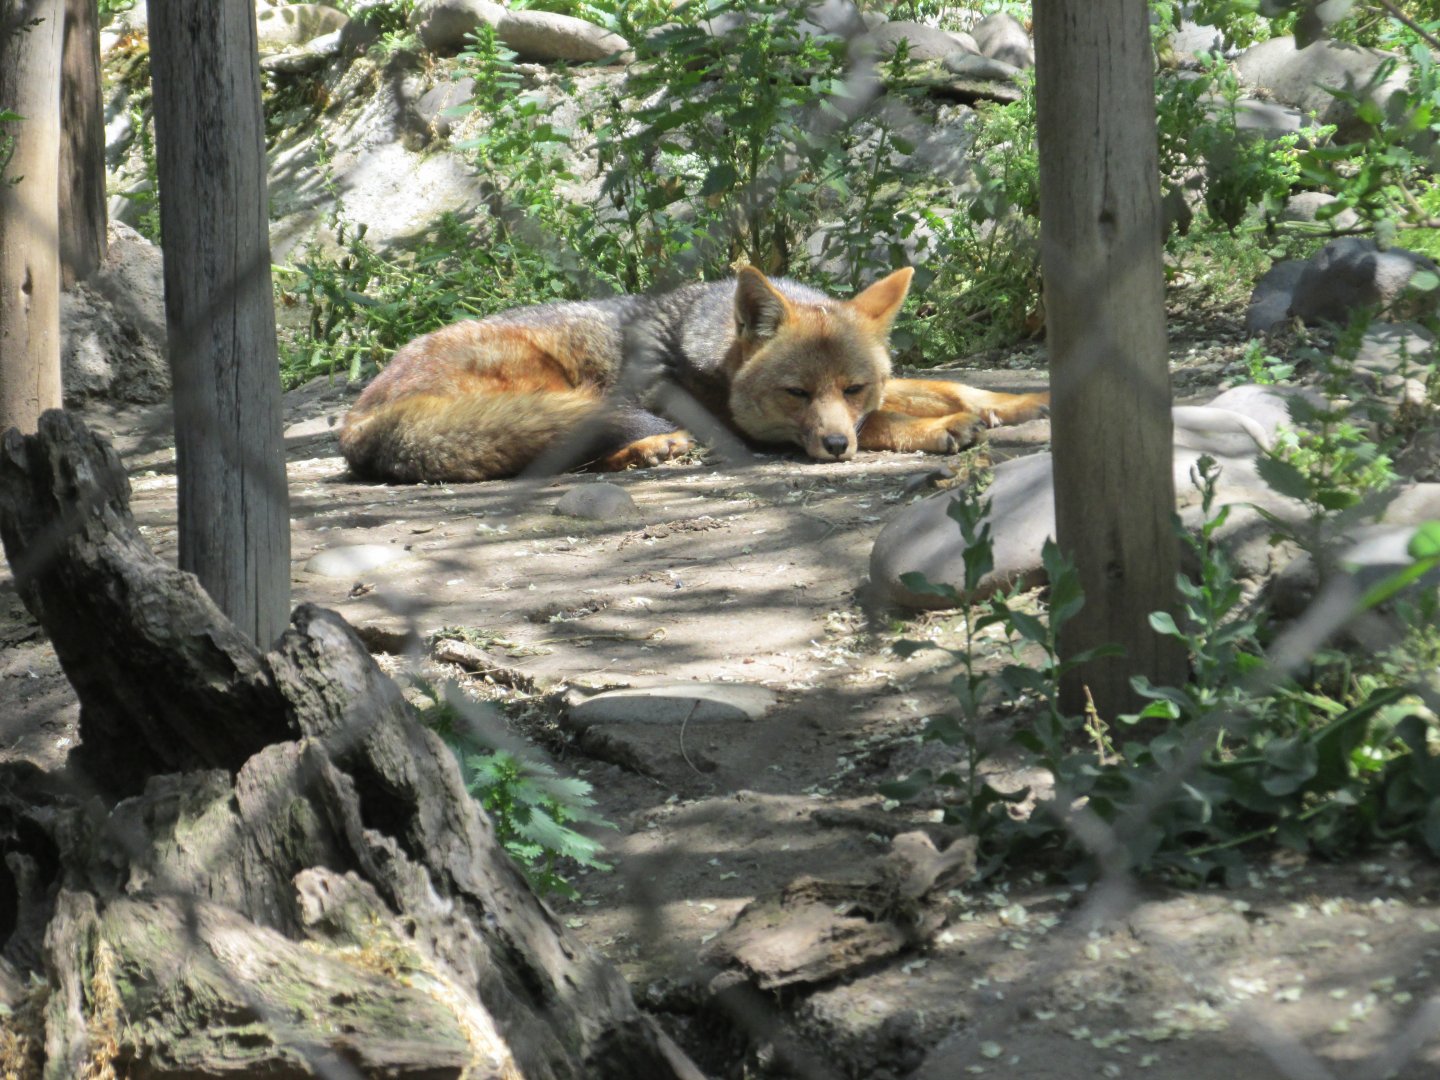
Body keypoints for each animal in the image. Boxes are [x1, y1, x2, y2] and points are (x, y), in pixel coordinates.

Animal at [338, 266, 1049, 483]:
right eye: (795, 394)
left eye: (853, 388)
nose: (833, 446)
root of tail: (359, 418)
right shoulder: (756, 431)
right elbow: (893, 420)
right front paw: (944, 428)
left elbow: (941, 386)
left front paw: (1018, 401)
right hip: (558, 383)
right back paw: (651, 446)